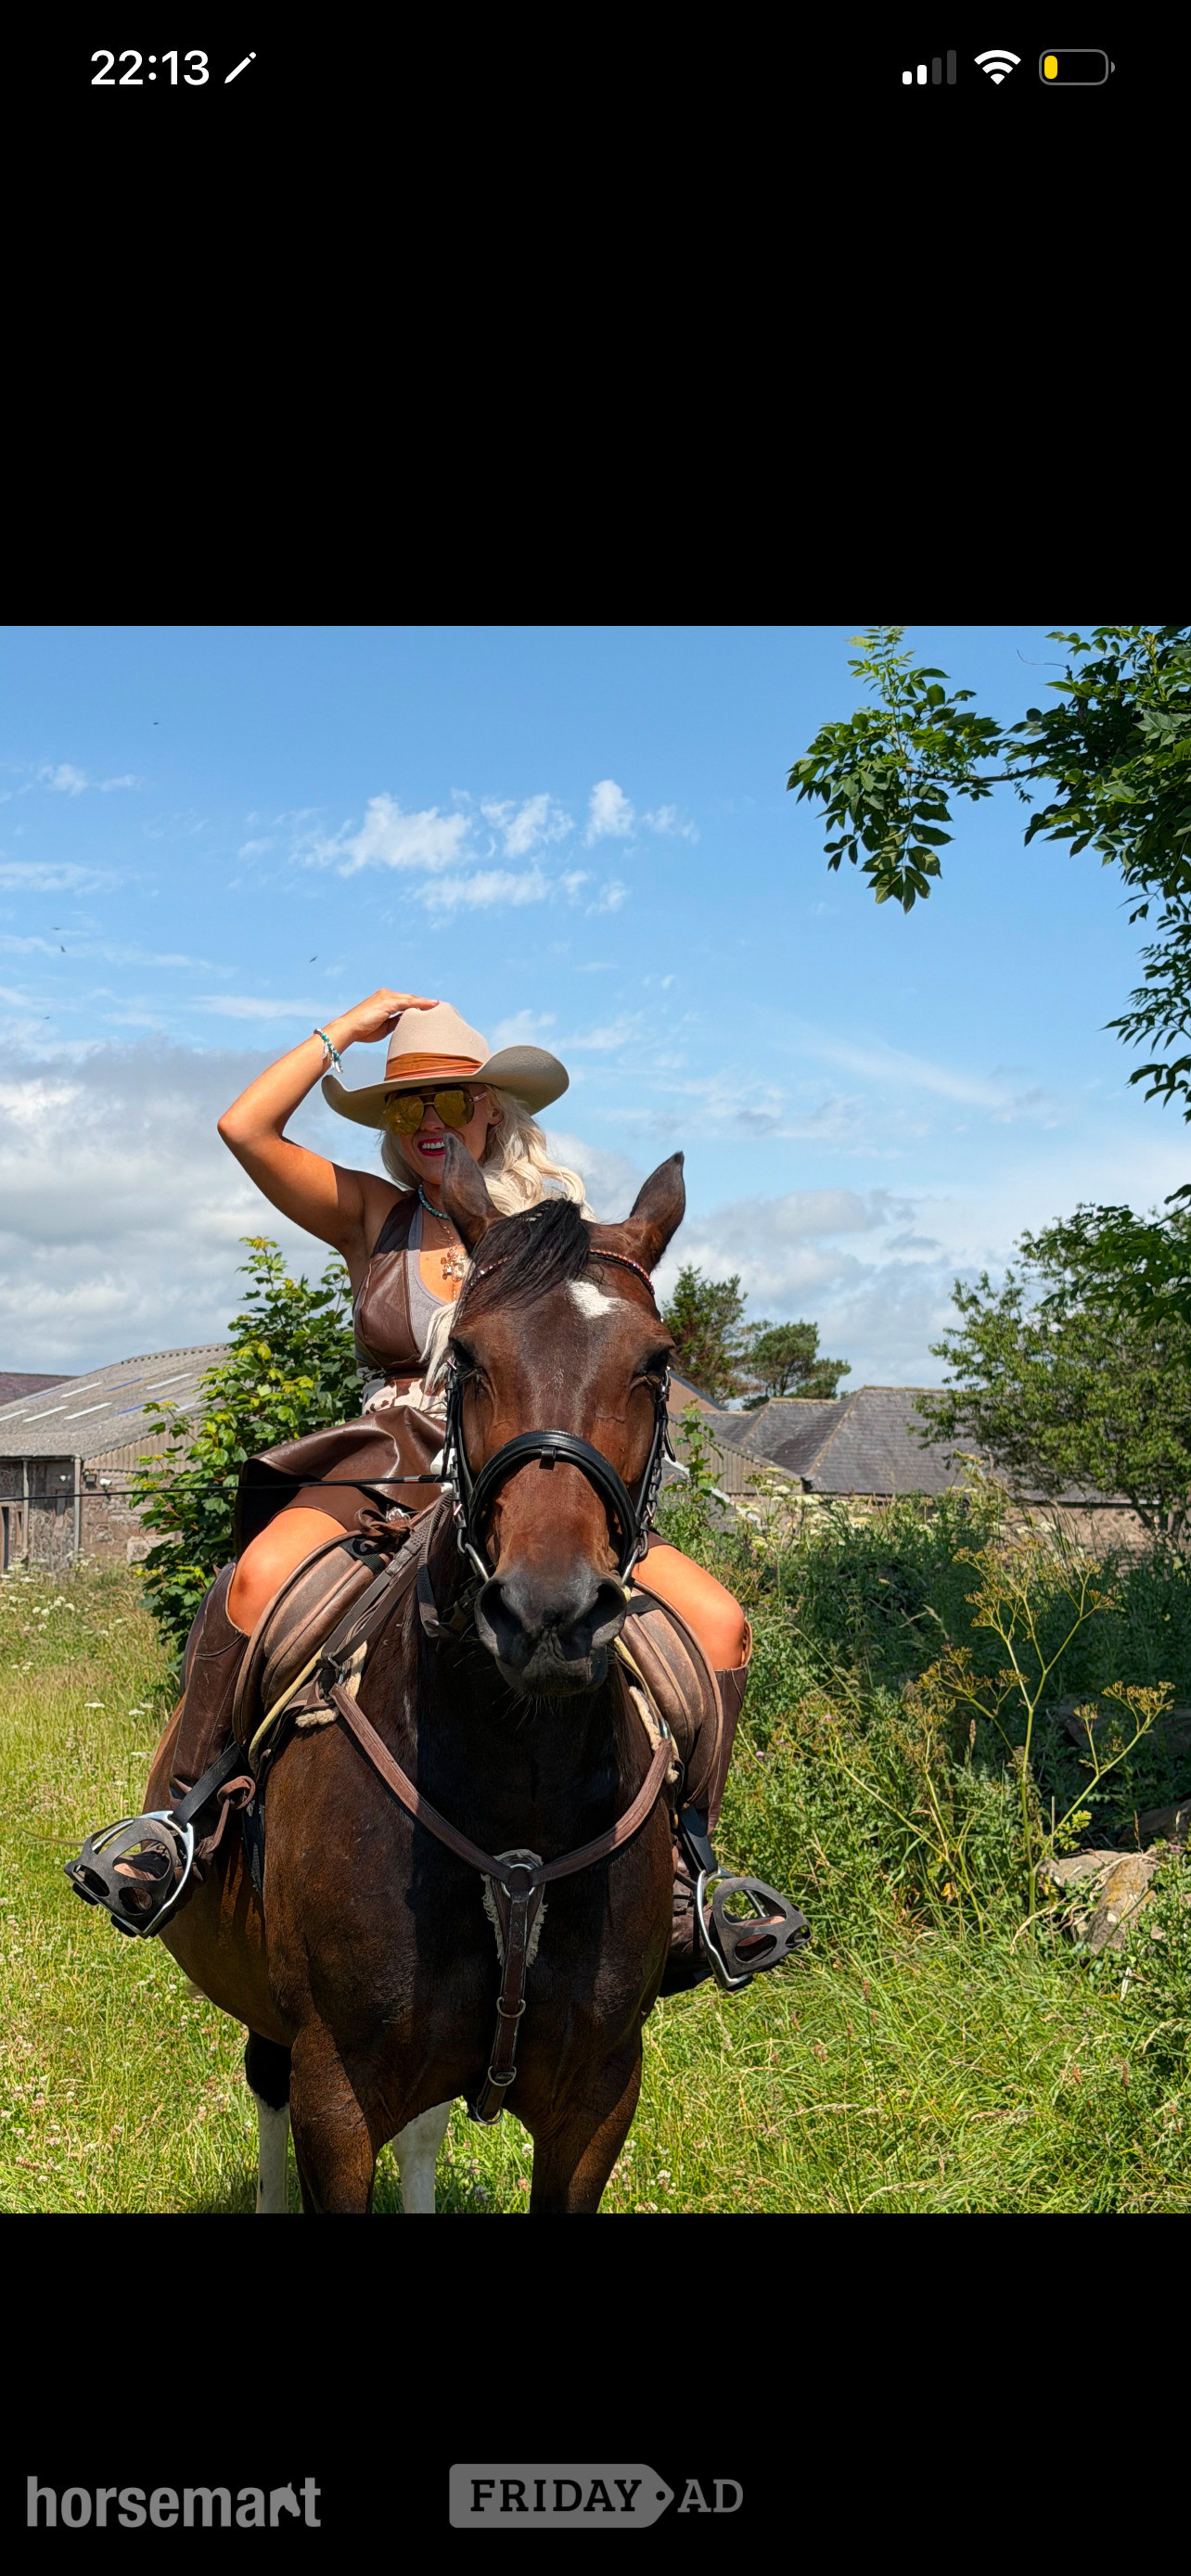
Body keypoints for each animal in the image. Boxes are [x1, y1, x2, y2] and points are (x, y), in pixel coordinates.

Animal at [147, 1145, 688, 2214]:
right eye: (467, 1359)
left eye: (654, 1362)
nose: (549, 1614)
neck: (520, 1785)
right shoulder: (338, 2091)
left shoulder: (601, 2099)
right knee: (265, 2084)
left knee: (426, 2130)